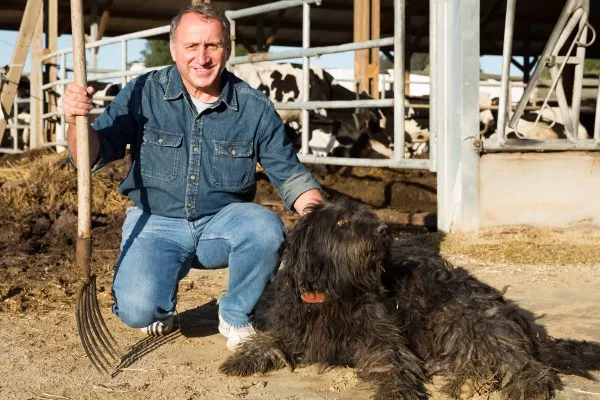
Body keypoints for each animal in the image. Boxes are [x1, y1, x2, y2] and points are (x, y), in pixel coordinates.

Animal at [219, 202, 564, 398]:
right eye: (341, 222)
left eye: (369, 218)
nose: (384, 230)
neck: (337, 290)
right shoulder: (293, 328)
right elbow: (268, 340)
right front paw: (241, 359)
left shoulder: (381, 336)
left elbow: (392, 362)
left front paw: (396, 389)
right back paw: (468, 384)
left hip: (457, 317)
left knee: (521, 362)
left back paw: (526, 385)